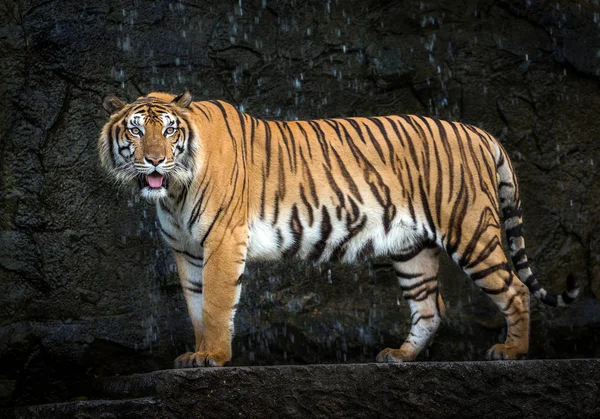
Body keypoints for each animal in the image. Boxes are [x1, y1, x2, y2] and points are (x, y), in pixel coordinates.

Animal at [99, 91, 580, 368]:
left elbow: (216, 307)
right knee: (430, 307)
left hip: (469, 228)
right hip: (412, 248)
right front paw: (196, 353)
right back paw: (399, 357)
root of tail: (481, 132)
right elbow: (195, 307)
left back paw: (511, 352)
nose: (156, 160)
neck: (173, 192)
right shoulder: (187, 251)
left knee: (514, 288)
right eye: (136, 132)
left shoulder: (221, 242)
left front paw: (213, 357)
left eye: (169, 131)